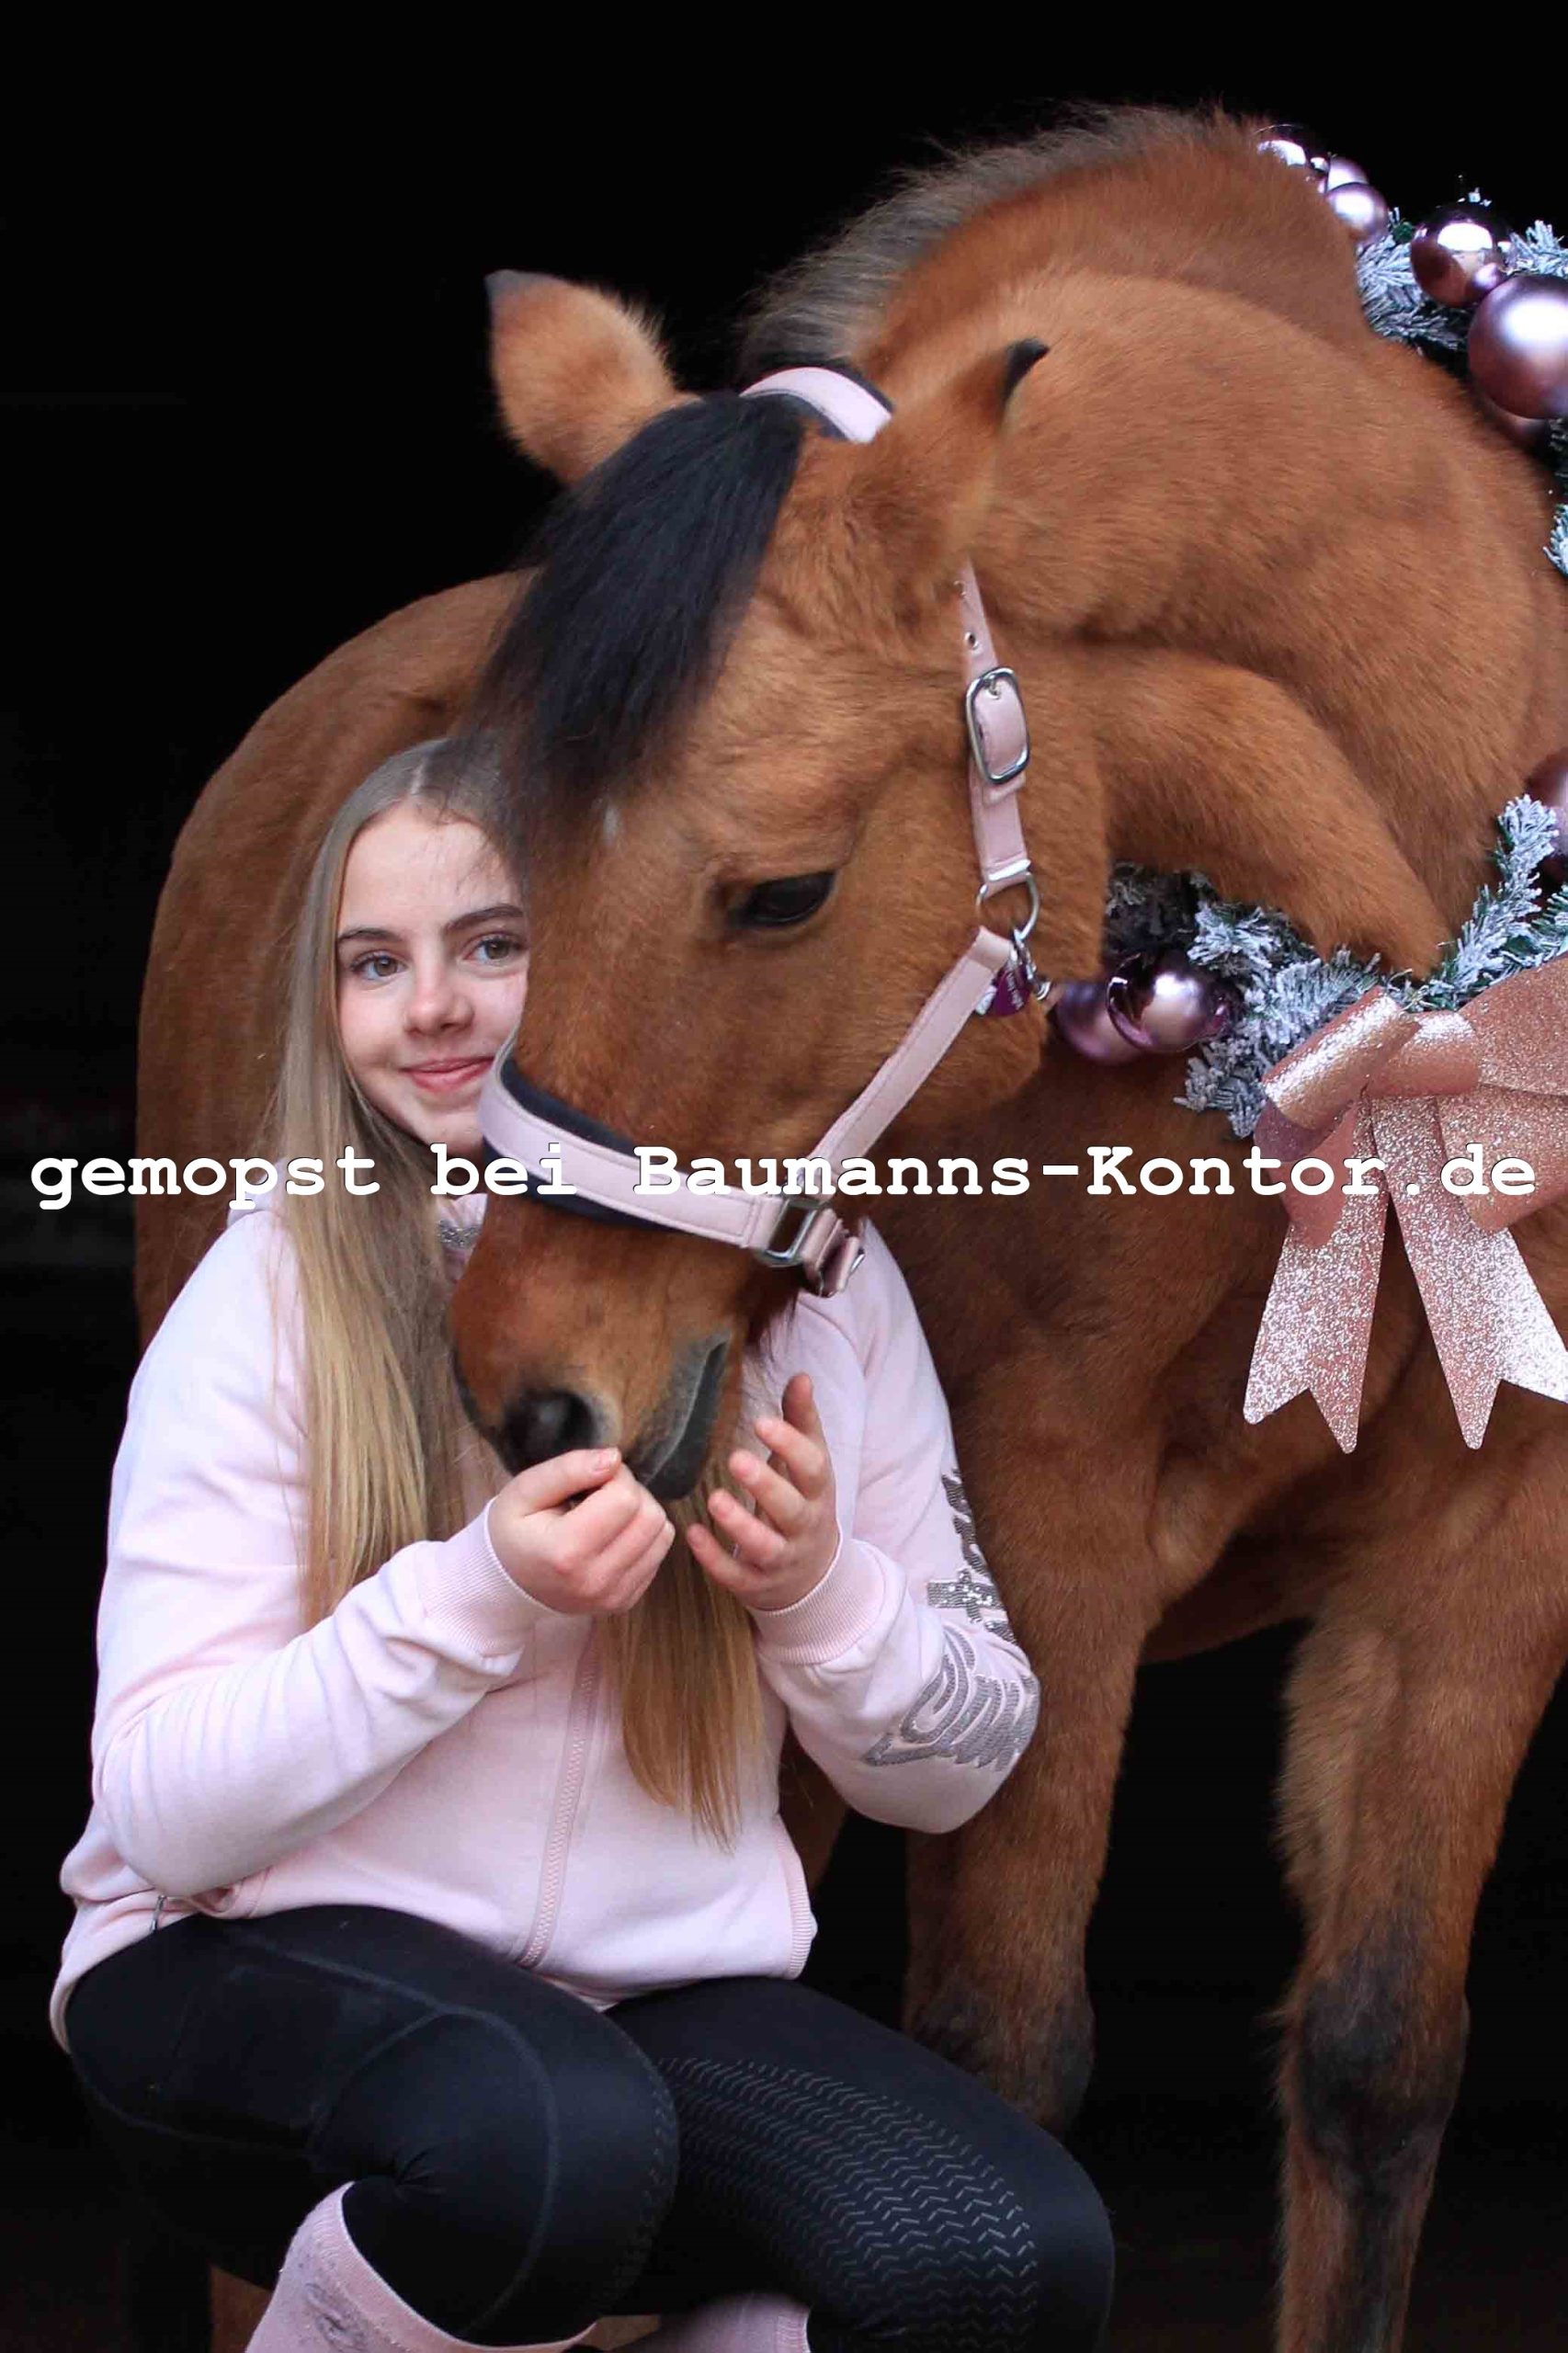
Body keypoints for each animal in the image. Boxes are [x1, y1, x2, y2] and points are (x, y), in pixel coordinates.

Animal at [135, 103, 1568, 2353]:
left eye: (783, 889)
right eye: (494, 872)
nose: (523, 1384)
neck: (1378, 1031)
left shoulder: (1498, 1542)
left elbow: (1369, 2071)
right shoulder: (1051, 1509)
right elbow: (1005, 2049)